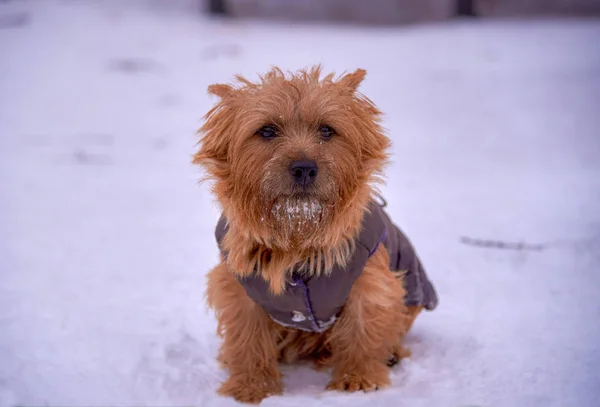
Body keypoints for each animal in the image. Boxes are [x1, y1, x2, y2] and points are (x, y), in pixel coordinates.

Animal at [195, 65, 438, 404]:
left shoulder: (370, 282)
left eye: (326, 130)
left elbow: (364, 331)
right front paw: (252, 386)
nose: (304, 168)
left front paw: (357, 379)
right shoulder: (239, 288)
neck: (297, 234)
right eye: (266, 131)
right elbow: (248, 338)